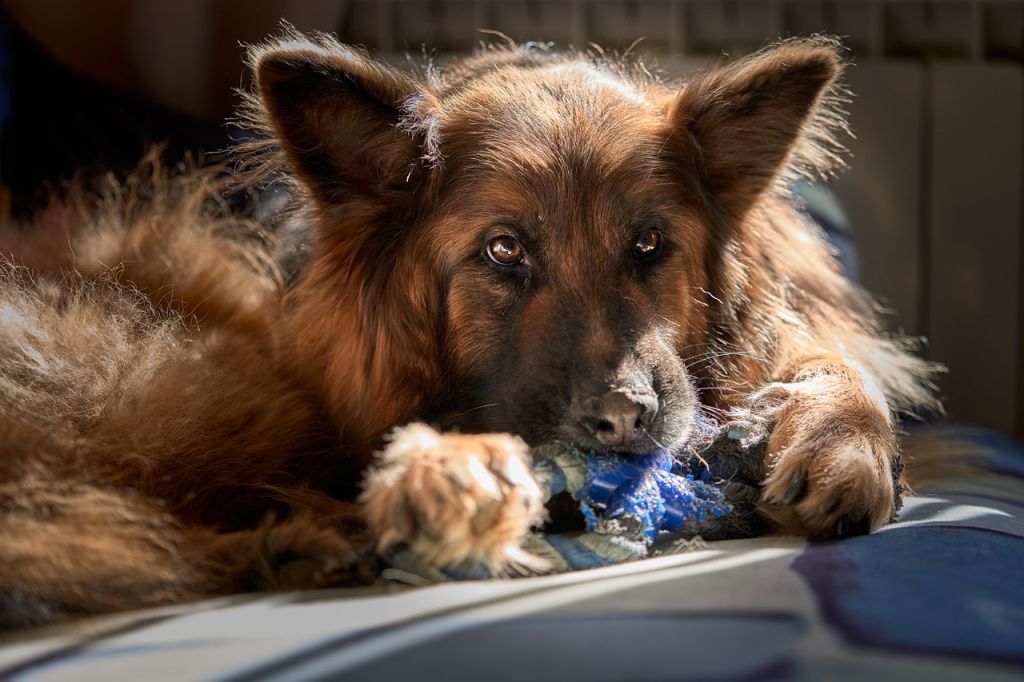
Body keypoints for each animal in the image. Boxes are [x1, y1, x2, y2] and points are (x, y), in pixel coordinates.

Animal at [0, 30, 937, 626]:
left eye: (649, 245)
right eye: (503, 250)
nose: (627, 418)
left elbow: (828, 363)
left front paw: (843, 447)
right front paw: (452, 469)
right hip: (231, 387)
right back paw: (304, 543)